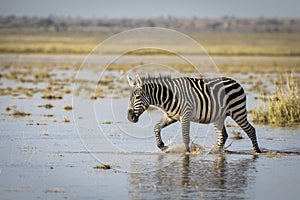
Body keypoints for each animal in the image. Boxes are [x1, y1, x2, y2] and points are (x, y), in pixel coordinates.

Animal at [126, 74, 260, 153]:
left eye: (137, 97)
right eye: (130, 98)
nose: (130, 118)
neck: (168, 97)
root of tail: (236, 82)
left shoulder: (186, 115)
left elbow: (185, 136)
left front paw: (187, 152)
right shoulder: (170, 116)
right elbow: (156, 127)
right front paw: (162, 145)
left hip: (238, 111)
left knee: (250, 130)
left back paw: (257, 151)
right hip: (219, 117)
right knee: (223, 135)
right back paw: (216, 152)